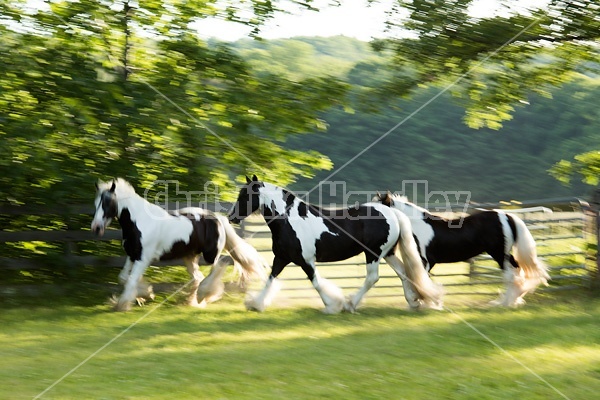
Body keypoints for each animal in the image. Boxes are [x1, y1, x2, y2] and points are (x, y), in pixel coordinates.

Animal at [91, 179, 264, 312]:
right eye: (96, 203)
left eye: (107, 203)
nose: (96, 228)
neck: (139, 222)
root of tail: (217, 218)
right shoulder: (132, 255)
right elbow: (123, 278)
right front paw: (145, 294)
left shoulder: (143, 258)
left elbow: (132, 279)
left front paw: (122, 305)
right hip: (190, 257)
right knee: (198, 276)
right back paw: (191, 301)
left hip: (211, 255)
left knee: (221, 263)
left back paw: (203, 295)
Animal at [227, 177, 442, 314]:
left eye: (245, 196)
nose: (231, 217)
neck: (288, 221)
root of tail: (392, 212)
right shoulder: (281, 258)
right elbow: (270, 279)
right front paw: (256, 304)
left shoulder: (306, 261)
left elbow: (316, 282)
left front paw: (332, 305)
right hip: (388, 253)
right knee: (404, 272)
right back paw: (413, 302)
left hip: (373, 253)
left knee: (372, 278)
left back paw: (350, 304)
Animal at [376, 192, 548, 304]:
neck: (418, 226)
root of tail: (507, 216)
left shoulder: (425, 261)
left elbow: (420, 281)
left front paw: (425, 301)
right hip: (505, 254)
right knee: (517, 271)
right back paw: (513, 300)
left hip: (498, 254)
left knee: (511, 276)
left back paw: (504, 303)